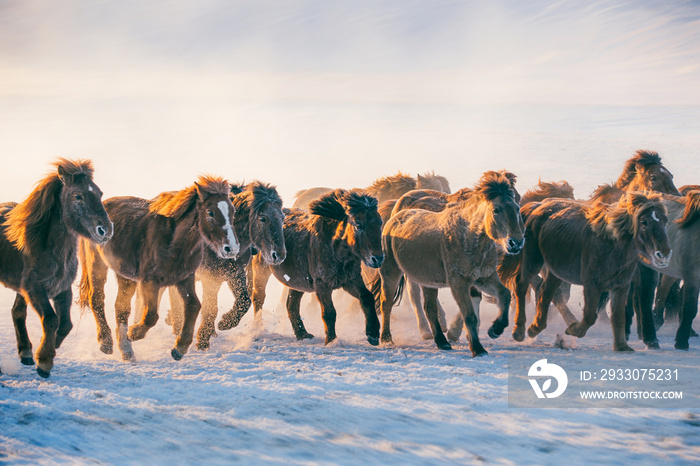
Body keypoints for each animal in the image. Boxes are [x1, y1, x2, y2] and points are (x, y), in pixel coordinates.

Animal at [0, 160, 112, 378]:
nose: (105, 230)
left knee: (18, 312)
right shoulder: (35, 289)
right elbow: (51, 319)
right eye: (78, 196)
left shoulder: (62, 289)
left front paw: (50, 349)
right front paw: (44, 362)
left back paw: (26, 353)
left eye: (99, 193)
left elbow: (65, 325)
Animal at [79, 175, 241, 360]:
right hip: (96, 265)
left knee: (121, 307)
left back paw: (126, 351)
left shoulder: (184, 278)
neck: (173, 241)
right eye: (210, 212)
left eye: (233, 211)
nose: (231, 248)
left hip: (125, 276)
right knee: (96, 299)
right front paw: (134, 333)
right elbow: (151, 315)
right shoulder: (149, 281)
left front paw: (180, 347)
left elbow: (193, 306)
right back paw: (106, 342)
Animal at [167, 182, 288, 350]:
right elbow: (210, 307)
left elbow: (244, 300)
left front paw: (225, 323)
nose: (279, 255)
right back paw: (177, 325)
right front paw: (203, 339)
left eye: (282, 217)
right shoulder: (210, 277)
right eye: (263, 218)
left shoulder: (234, 274)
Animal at [250, 189, 382, 346]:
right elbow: (329, 313)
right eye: (359, 225)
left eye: (380, 223)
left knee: (291, 305)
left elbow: (367, 297)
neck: (334, 247)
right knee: (259, 298)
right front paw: (331, 341)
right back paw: (258, 329)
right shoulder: (322, 285)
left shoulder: (351, 280)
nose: (378, 259)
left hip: (297, 282)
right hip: (261, 270)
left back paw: (302, 334)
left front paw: (373, 334)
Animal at [378, 172, 524, 356]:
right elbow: (469, 314)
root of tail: (398, 214)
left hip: (427, 279)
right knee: (392, 301)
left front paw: (494, 330)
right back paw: (390, 338)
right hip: (392, 272)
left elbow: (503, 295)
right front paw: (475, 346)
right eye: (496, 209)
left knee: (430, 307)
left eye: (517, 207)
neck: (470, 237)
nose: (516, 242)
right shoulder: (458, 282)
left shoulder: (485, 277)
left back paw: (441, 340)